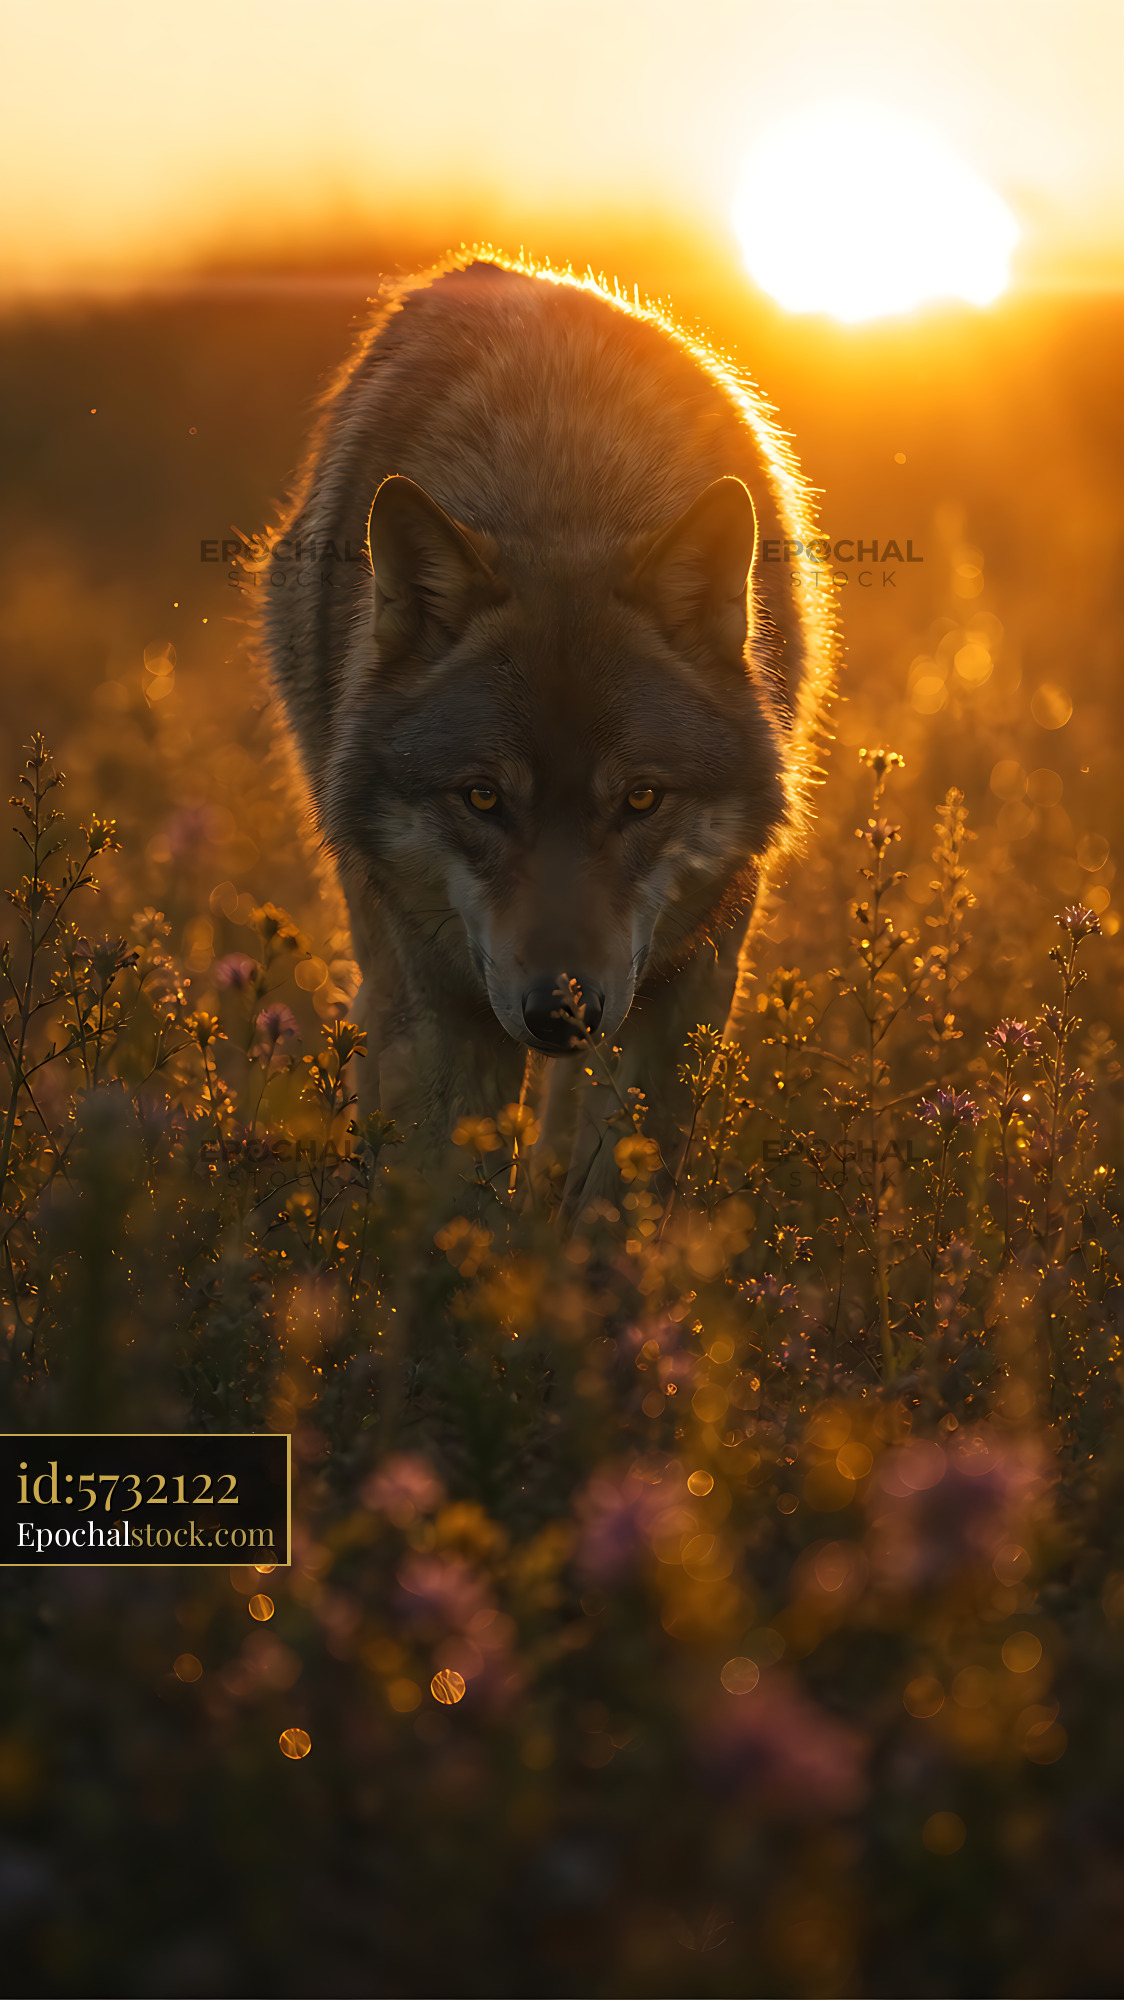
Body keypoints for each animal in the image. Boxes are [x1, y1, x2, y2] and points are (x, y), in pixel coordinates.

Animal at [263, 256, 834, 1204]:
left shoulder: (691, 979)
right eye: (483, 798)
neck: (567, 491)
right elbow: (450, 1208)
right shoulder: (444, 996)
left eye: (641, 798)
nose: (559, 1013)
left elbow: (614, 1203)